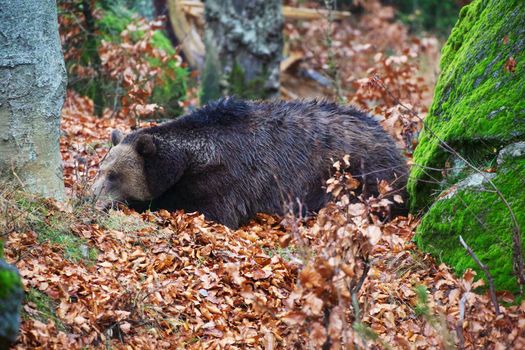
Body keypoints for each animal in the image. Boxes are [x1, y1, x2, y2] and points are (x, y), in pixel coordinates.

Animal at [92, 99, 408, 230]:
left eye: (114, 175)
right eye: (102, 169)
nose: (90, 196)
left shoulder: (229, 179)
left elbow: (211, 210)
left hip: (358, 175)